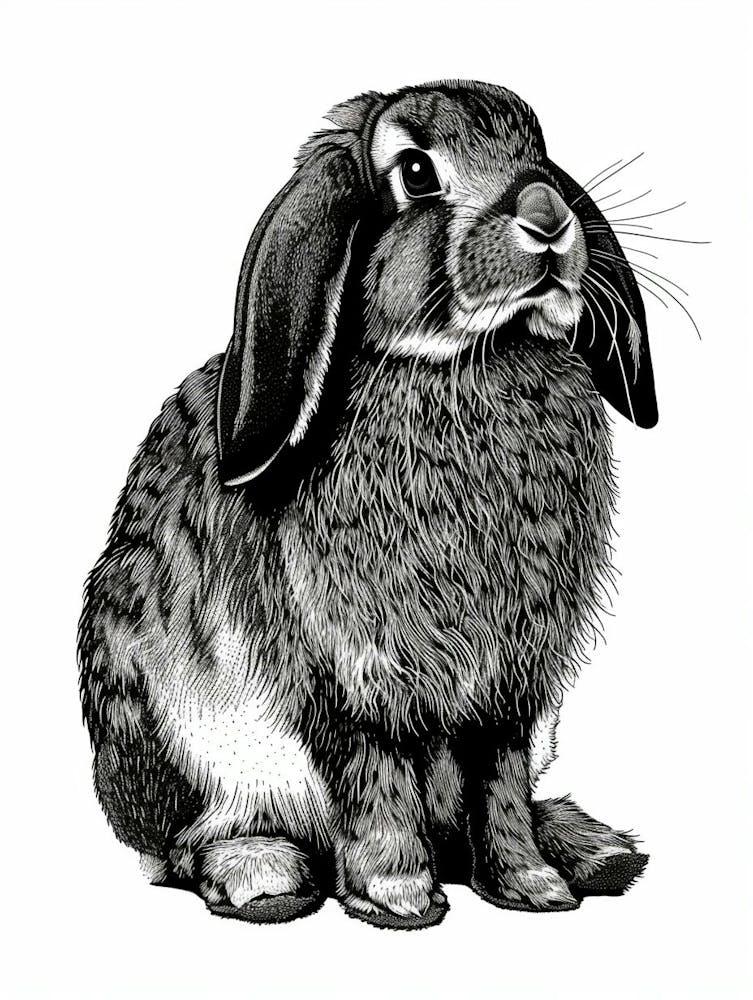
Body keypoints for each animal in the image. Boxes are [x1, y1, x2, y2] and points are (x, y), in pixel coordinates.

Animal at [79, 80, 655, 930]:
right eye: (415, 172)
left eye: (537, 152)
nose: (550, 218)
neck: (464, 361)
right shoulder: (349, 671)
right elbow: (374, 776)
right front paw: (396, 899)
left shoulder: (510, 689)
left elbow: (500, 783)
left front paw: (532, 885)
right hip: (161, 723)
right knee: (186, 844)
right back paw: (263, 875)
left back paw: (592, 848)